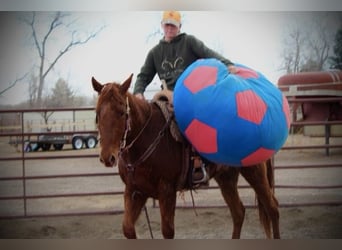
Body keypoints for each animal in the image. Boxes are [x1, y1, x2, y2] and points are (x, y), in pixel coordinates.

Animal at [91, 73, 280, 238]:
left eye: (122, 112)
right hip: (226, 177)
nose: (107, 157)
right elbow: (128, 229)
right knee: (239, 212)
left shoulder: (167, 191)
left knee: (272, 209)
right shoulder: (134, 191)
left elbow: (168, 231)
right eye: (98, 112)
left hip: (255, 172)